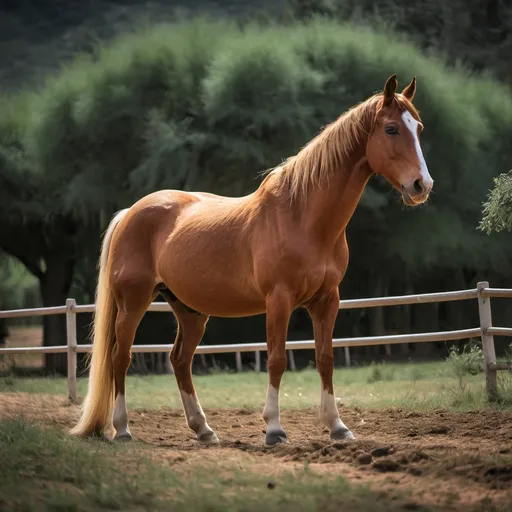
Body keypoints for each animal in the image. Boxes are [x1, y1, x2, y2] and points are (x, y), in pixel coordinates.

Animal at [71, 74, 432, 446]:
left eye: (418, 127)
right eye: (391, 128)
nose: (422, 185)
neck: (302, 216)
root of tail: (131, 212)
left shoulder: (327, 300)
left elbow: (326, 358)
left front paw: (337, 427)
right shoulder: (279, 299)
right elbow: (276, 359)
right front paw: (274, 428)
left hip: (190, 310)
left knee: (179, 360)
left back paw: (203, 429)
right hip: (134, 302)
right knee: (120, 358)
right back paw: (123, 428)